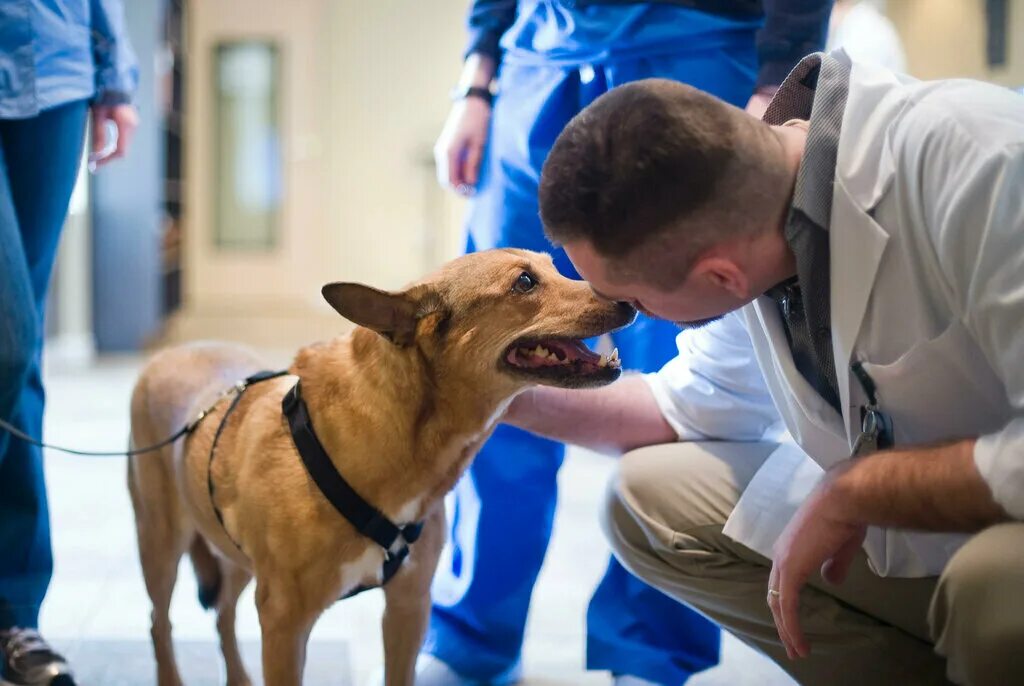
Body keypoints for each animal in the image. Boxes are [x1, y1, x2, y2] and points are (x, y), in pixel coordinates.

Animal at [128, 248, 630, 686]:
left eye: (553, 265)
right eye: (524, 282)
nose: (628, 298)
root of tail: (170, 352)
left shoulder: (408, 606)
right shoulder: (284, 621)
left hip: (231, 553)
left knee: (223, 615)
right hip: (160, 544)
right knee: (159, 621)